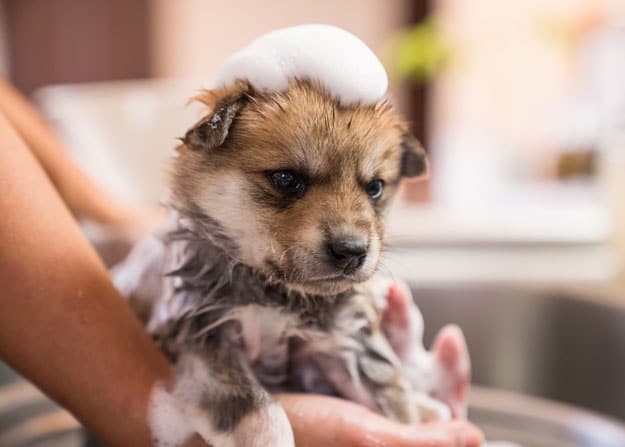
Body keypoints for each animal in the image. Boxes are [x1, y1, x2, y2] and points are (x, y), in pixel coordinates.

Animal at [113, 79, 454, 446]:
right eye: (286, 179)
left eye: (375, 187)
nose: (352, 251)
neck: (274, 294)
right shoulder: (203, 340)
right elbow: (262, 410)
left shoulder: (346, 341)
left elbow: (393, 399)